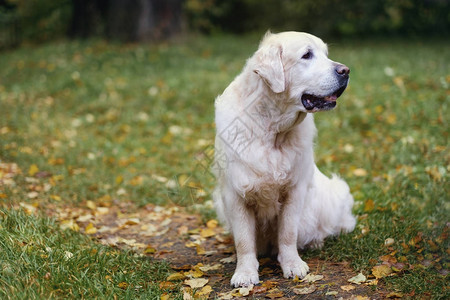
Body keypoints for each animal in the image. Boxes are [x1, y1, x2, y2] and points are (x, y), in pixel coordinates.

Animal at [213, 31, 356, 288]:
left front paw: (293, 265)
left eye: (326, 54)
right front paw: (245, 273)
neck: (272, 131)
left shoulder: (295, 190)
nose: (345, 70)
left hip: (334, 194)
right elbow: (244, 240)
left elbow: (288, 232)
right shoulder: (234, 193)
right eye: (307, 55)